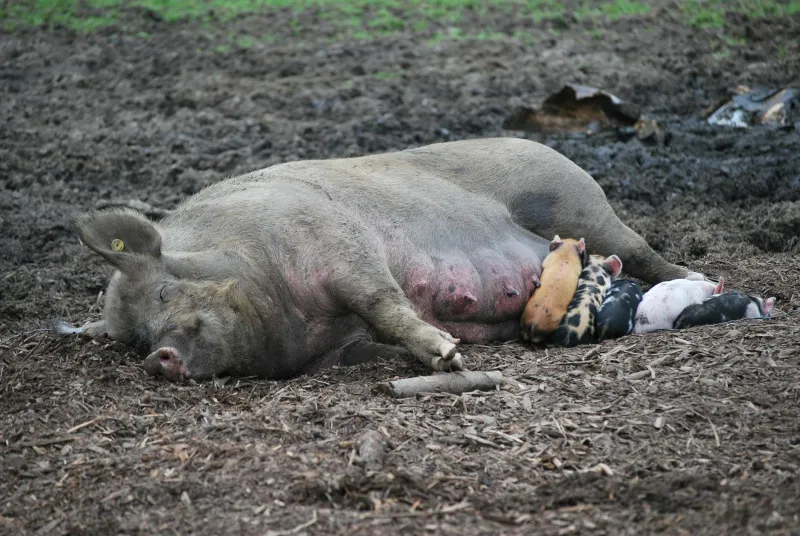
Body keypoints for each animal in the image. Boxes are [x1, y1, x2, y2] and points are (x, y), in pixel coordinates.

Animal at [59, 137, 705, 381]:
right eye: (137, 340)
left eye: (165, 290)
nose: (160, 357)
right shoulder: (335, 345)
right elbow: (370, 344)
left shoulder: (339, 241)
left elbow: (383, 301)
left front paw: (448, 355)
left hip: (578, 203)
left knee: (643, 251)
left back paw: (699, 278)